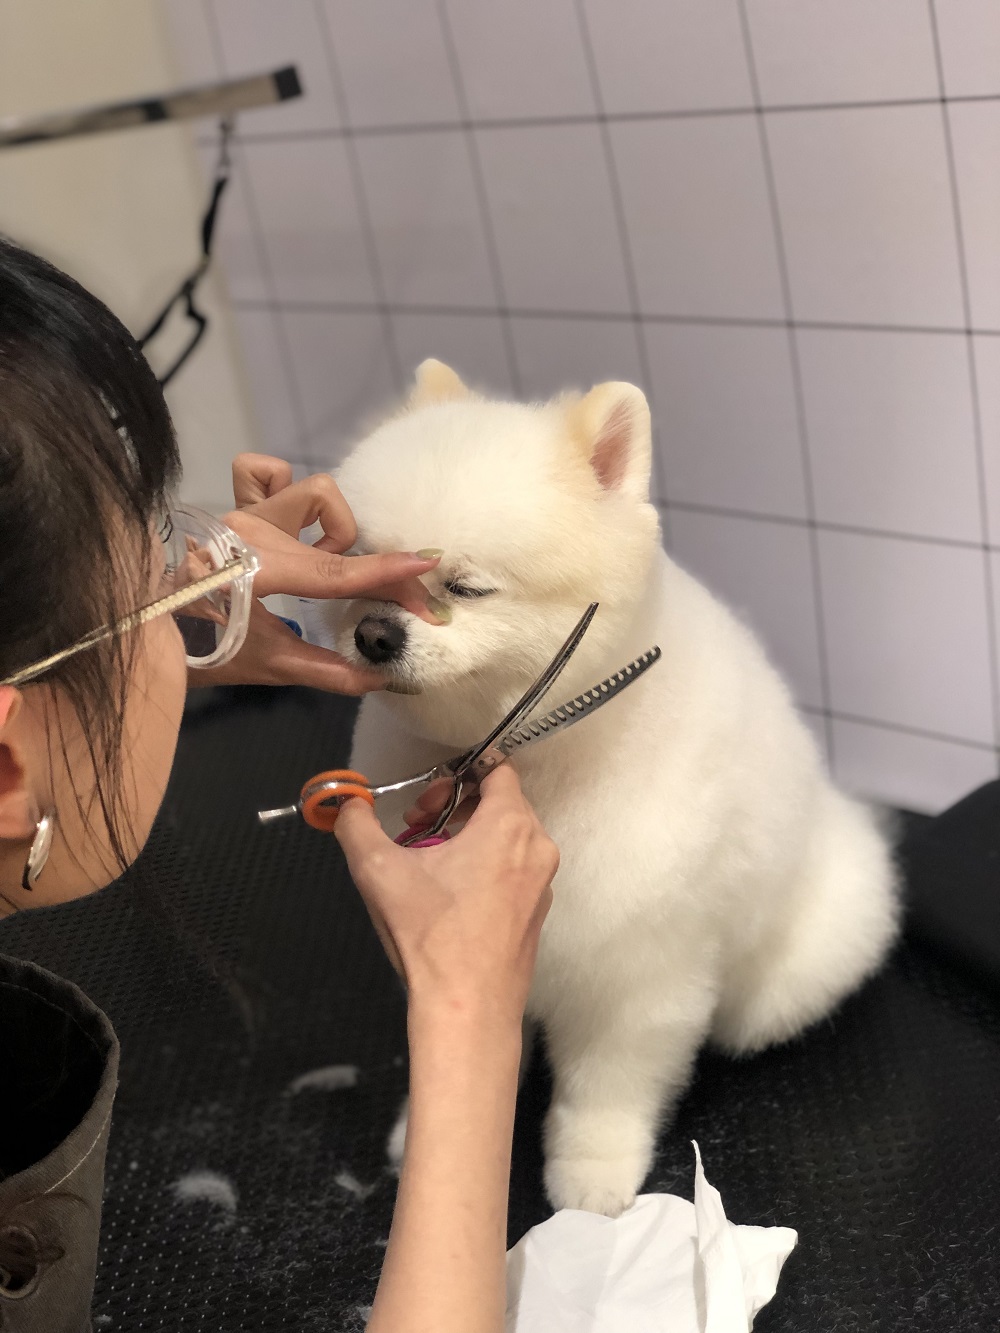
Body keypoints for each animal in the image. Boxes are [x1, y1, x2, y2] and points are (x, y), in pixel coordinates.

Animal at [305, 358, 900, 1217]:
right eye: (362, 571)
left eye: (465, 586)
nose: (375, 633)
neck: (541, 766)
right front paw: (423, 1129)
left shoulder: (637, 973)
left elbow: (605, 1091)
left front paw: (591, 1172)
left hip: (802, 953)